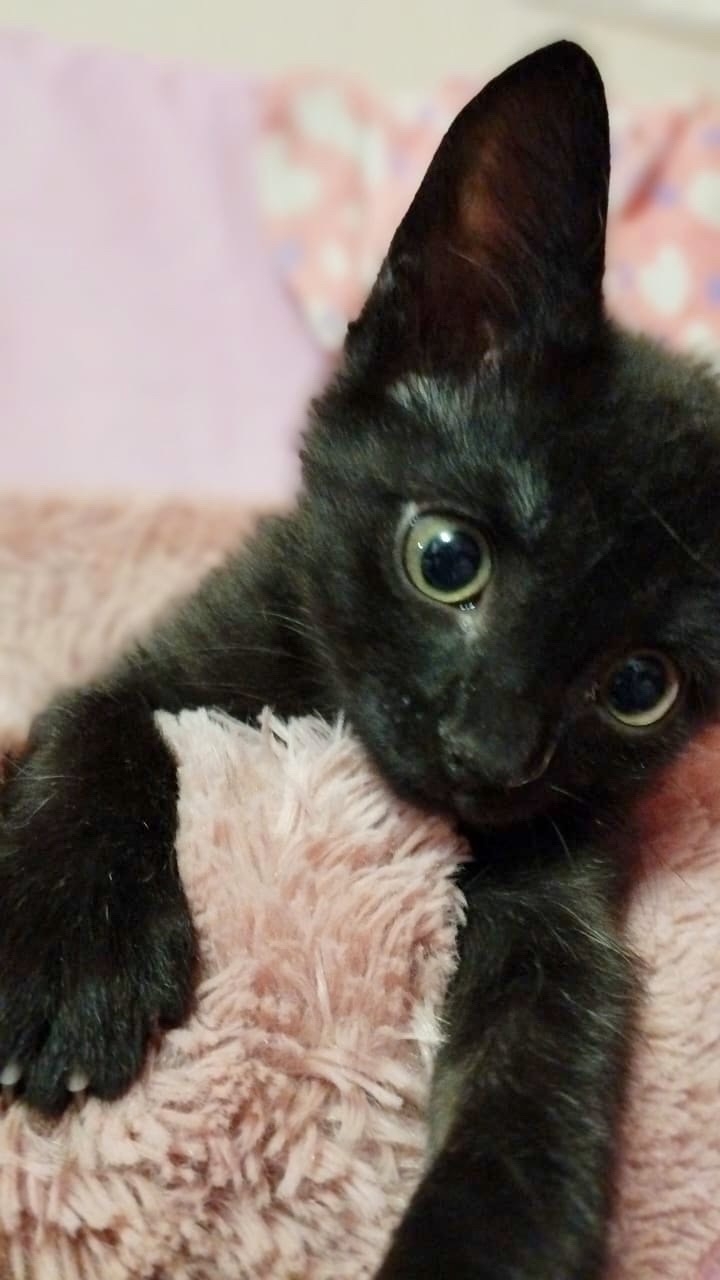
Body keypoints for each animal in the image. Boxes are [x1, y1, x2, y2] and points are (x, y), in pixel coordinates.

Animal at [2, 37, 720, 1278]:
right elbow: (91, 720)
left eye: (641, 686)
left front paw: (484, 1242)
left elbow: (552, 1037)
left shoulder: (562, 874)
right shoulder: (203, 631)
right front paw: (77, 963)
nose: (489, 752)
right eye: (446, 557)